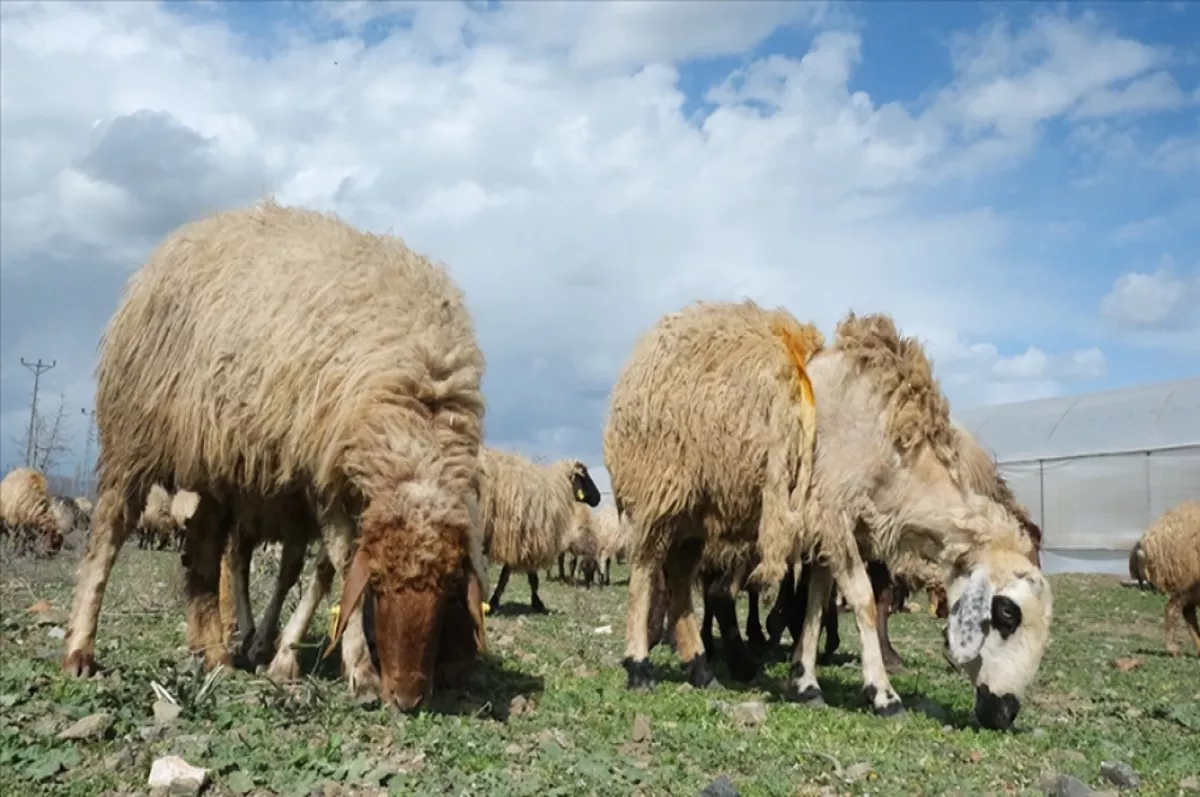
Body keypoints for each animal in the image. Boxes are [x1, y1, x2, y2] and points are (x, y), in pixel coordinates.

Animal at [59, 199, 492, 710]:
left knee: (204, 550)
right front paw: (358, 670)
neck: (419, 408)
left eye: (449, 589)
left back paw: (215, 653)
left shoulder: (330, 483)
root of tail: (185, 235)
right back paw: (81, 649)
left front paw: (286, 654)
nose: (407, 698)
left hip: (219, 463)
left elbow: (322, 569)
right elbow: (342, 560)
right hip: (134, 432)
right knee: (111, 533)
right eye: (379, 585)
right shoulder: (325, 477)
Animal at [480, 444, 604, 612]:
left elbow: (507, 575)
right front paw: (537, 603)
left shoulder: (520, 542)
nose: (598, 498)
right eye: (584, 475)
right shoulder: (529, 539)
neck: (554, 490)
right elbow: (525, 577)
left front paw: (494, 602)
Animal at [604, 300, 1056, 729]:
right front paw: (883, 695)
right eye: (1007, 613)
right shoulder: (832, 512)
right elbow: (862, 598)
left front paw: (805, 683)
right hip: (659, 487)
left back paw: (700, 668)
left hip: (699, 511)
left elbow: (817, 602)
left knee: (680, 578)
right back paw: (639, 667)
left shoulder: (831, 526)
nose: (1005, 713)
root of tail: (651, 342)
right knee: (645, 570)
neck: (893, 453)